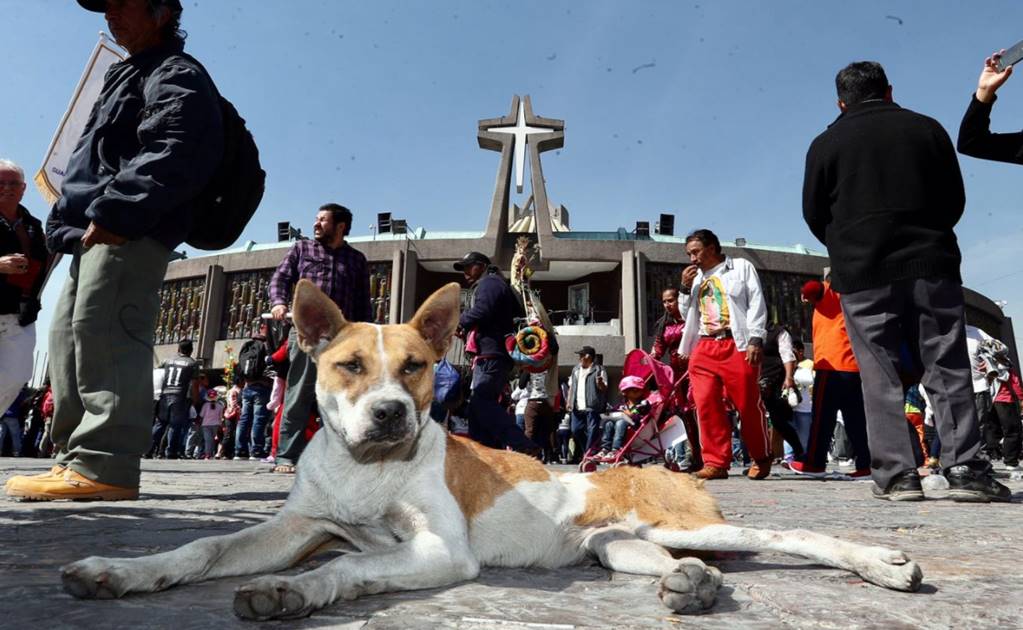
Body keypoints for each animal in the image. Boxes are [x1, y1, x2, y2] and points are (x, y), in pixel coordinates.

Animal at [59, 280, 924, 621]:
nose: (389, 414)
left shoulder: (440, 551)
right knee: (681, 564)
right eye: (349, 366)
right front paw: (119, 571)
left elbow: (345, 570)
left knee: (792, 535)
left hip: (691, 520)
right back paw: (692, 586)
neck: (366, 474)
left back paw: (883, 563)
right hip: (615, 547)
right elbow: (203, 549)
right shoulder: (299, 527)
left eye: (414, 366)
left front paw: (293, 594)